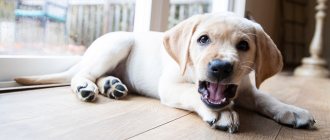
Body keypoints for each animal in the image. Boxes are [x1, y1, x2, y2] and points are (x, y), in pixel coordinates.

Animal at [15, 12, 314, 133]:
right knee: (83, 75)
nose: (220, 67)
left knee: (100, 76)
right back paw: (85, 87)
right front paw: (222, 113)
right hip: (118, 43)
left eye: (243, 46)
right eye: (203, 39)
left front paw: (292, 110)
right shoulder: (170, 86)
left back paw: (112, 85)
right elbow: (192, 93)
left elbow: (267, 99)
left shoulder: (247, 90)